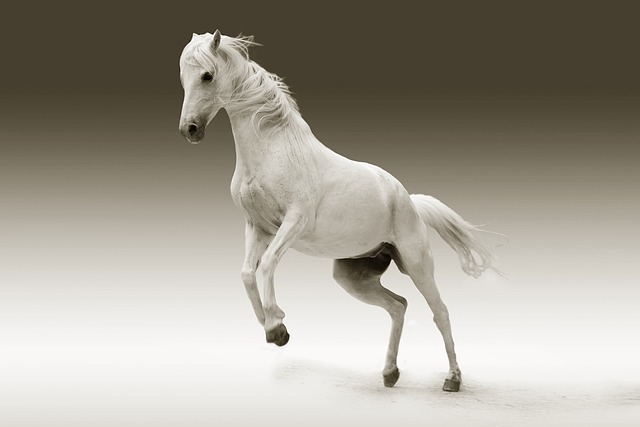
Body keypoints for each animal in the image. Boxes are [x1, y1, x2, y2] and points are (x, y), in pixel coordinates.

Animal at [178, 30, 501, 392]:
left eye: (207, 75)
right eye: (183, 78)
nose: (189, 129)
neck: (273, 151)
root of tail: (409, 200)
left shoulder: (293, 222)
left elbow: (268, 265)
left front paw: (276, 326)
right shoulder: (257, 227)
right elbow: (247, 273)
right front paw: (273, 326)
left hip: (417, 264)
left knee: (440, 311)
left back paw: (452, 379)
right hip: (353, 276)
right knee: (398, 306)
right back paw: (390, 373)